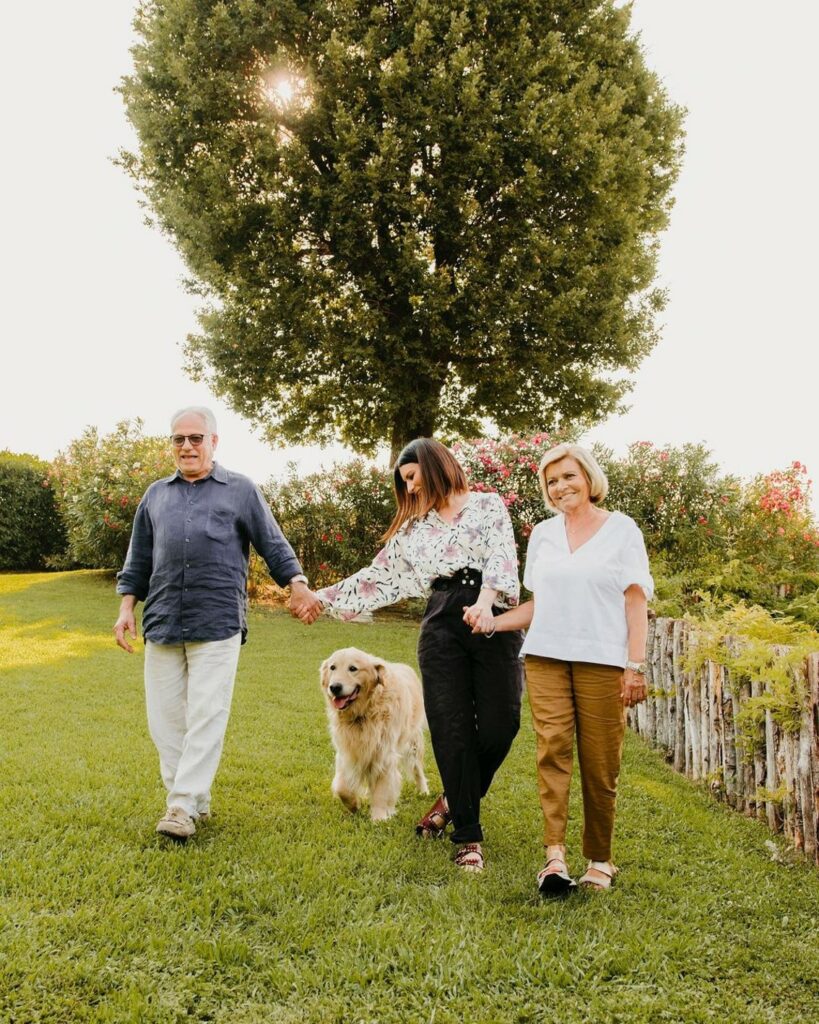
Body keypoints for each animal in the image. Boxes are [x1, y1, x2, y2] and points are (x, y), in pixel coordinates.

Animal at [320, 647, 429, 820]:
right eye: (332, 667)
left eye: (353, 668)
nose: (334, 687)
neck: (363, 714)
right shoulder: (346, 753)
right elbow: (342, 787)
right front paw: (354, 805)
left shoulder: (383, 754)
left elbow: (382, 790)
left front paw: (379, 817)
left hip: (412, 743)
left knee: (417, 768)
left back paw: (423, 790)